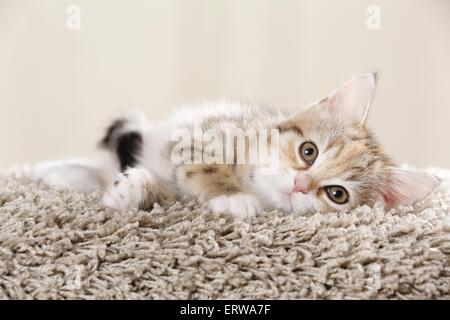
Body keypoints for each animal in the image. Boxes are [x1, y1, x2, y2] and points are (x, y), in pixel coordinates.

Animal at [33, 72, 438, 218]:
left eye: (337, 194)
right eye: (308, 151)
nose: (299, 185)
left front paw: (133, 192)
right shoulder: (199, 135)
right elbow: (203, 164)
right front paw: (231, 197)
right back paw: (61, 173)